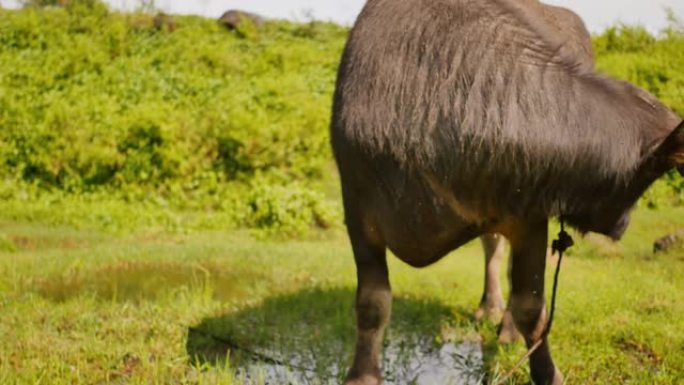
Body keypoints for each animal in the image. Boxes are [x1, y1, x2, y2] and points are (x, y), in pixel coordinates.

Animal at [332, 0, 684, 384]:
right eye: (650, 174)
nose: (622, 224)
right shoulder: (357, 207)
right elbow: (373, 301)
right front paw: (362, 375)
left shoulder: (530, 217)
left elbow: (532, 306)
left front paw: (546, 371)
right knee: (492, 250)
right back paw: (489, 307)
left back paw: (507, 327)